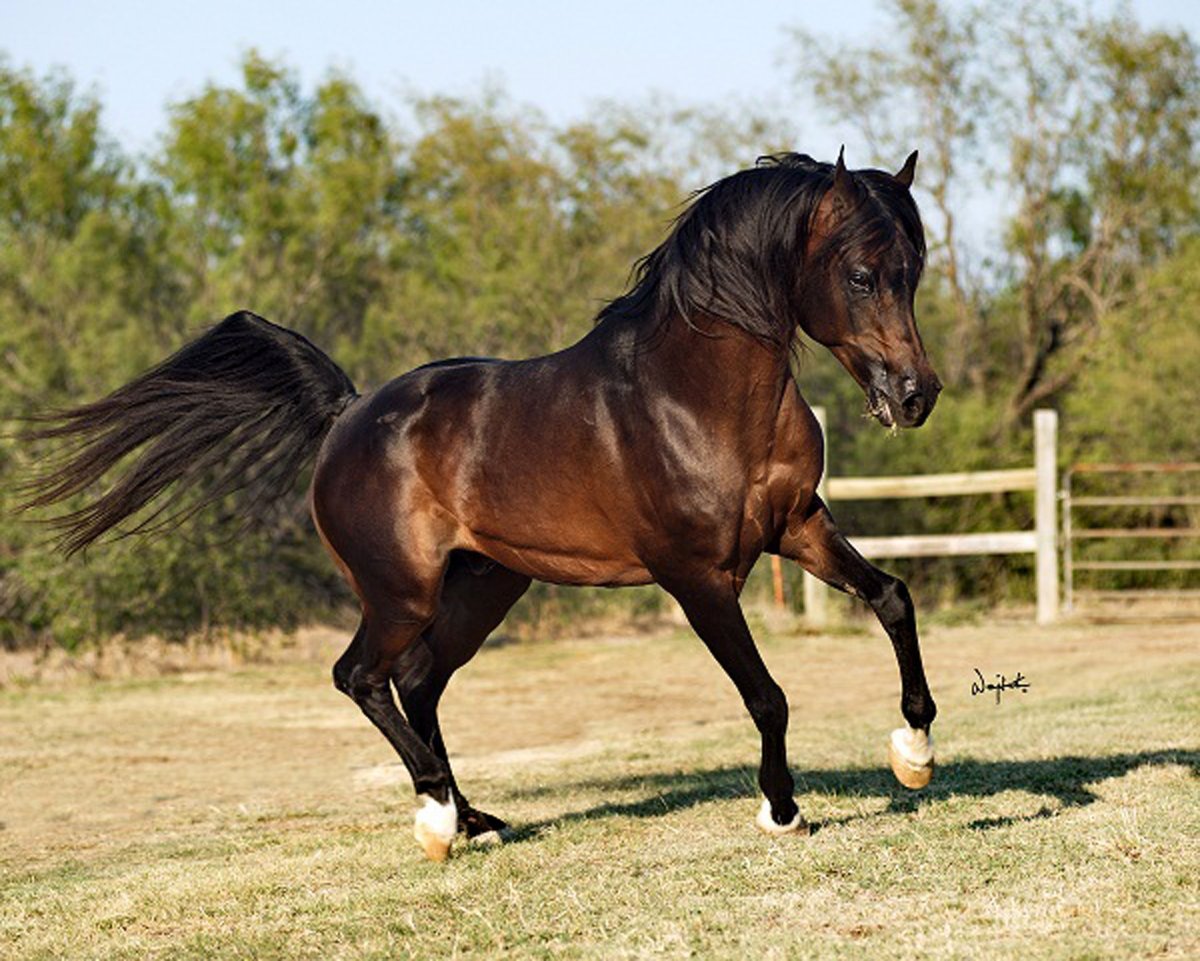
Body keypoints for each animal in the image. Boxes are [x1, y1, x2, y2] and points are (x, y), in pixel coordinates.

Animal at [23, 149, 942, 861]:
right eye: (861, 274)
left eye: (915, 270)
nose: (915, 395)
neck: (693, 397)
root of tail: (348, 415)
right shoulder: (698, 578)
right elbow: (767, 694)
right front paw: (782, 811)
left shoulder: (799, 527)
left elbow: (893, 597)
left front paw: (915, 749)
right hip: (401, 591)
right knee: (362, 676)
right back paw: (436, 817)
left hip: (484, 583)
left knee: (418, 681)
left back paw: (473, 819)